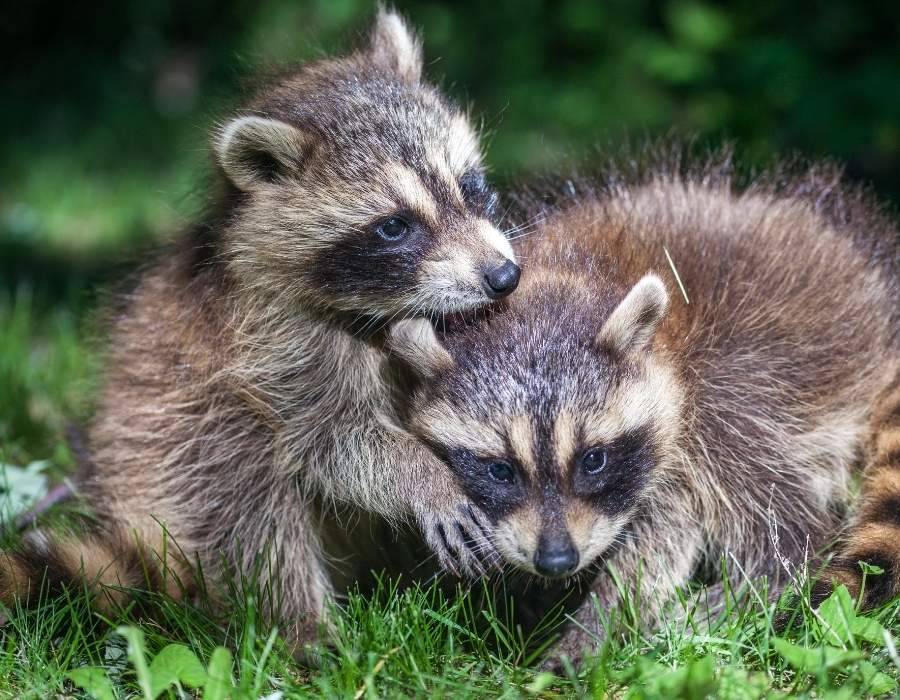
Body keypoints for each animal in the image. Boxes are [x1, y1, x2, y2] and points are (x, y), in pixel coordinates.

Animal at [1, 9, 517, 650]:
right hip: (170, 458)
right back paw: (306, 635)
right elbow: (328, 441)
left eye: (470, 186)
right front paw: (424, 476)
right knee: (246, 493)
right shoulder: (272, 341)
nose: (504, 276)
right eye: (395, 226)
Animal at [390, 156, 900, 662]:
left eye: (593, 460)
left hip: (768, 368)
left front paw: (598, 623)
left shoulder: (691, 411)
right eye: (499, 470)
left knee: (773, 501)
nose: (556, 561)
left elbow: (664, 536)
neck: (563, 277)